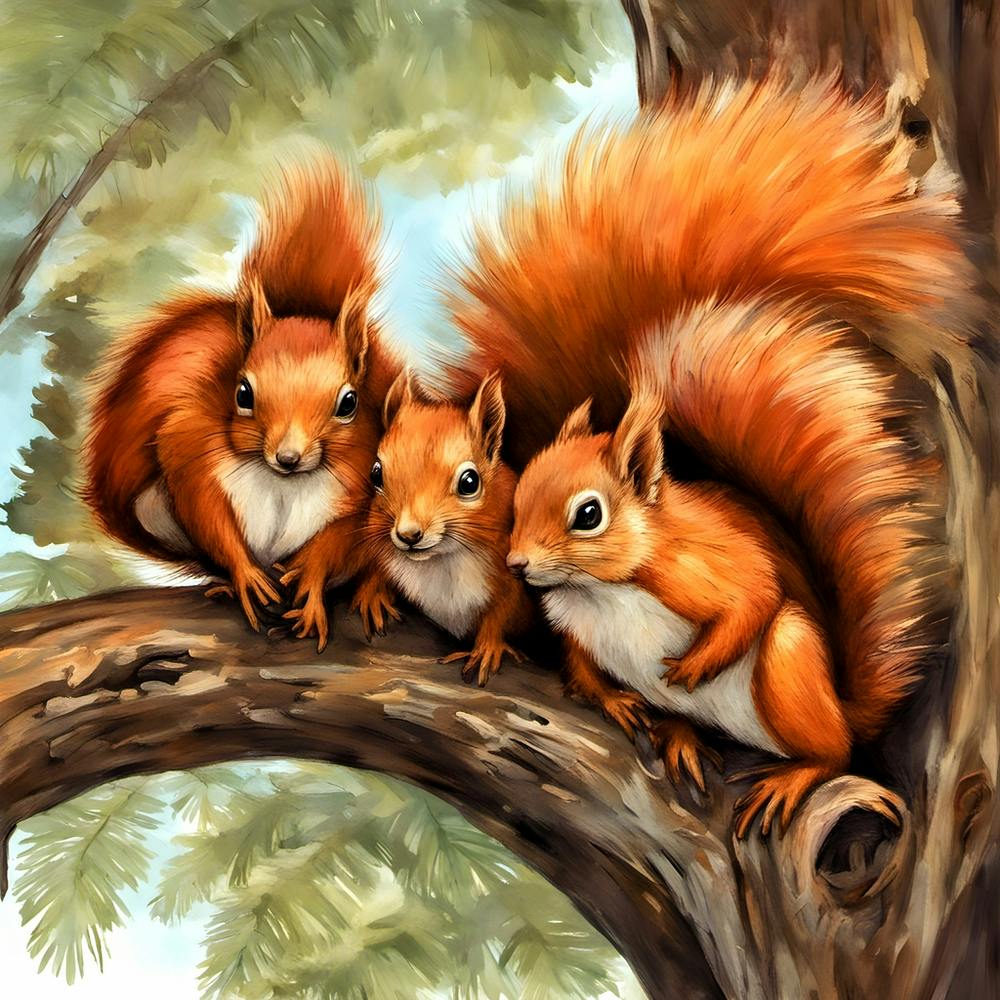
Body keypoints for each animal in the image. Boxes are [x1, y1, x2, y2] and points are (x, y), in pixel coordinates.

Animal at [84, 157, 399, 639]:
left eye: (349, 403)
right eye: (243, 393)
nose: (287, 457)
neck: (284, 482)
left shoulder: (371, 474)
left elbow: (339, 540)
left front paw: (310, 584)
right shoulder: (189, 444)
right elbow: (209, 516)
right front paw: (244, 576)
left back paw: (372, 594)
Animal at [352, 368, 535, 685]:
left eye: (470, 483)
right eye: (376, 474)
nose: (408, 534)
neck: (439, 561)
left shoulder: (512, 579)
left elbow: (500, 613)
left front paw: (487, 648)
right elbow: (378, 567)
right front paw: (372, 594)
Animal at [440, 76, 976, 836]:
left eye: (588, 515)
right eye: (513, 497)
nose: (517, 564)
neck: (602, 588)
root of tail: (844, 703)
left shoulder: (711, 562)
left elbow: (753, 594)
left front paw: (694, 666)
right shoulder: (572, 625)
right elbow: (580, 666)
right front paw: (615, 698)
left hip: (789, 664)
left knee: (833, 748)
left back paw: (790, 771)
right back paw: (681, 735)